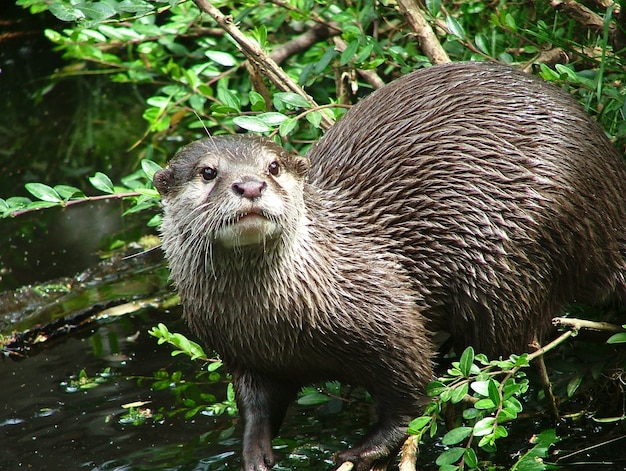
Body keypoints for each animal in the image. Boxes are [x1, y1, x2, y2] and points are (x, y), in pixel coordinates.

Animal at [154, 60, 624, 470]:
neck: (274, 322)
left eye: (272, 167)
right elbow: (255, 406)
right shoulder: (239, 352)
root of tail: (610, 192)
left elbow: (410, 389)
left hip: (510, 261)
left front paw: (368, 448)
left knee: (504, 348)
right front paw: (255, 452)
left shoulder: (387, 312)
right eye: (207, 172)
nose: (250, 185)